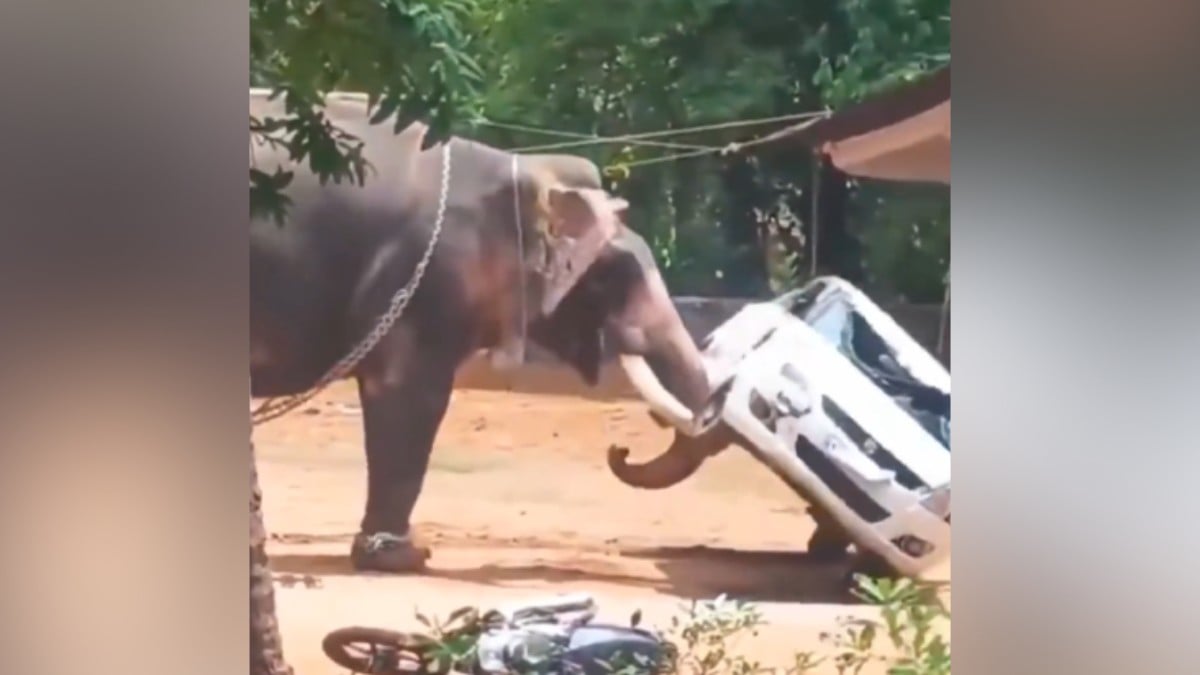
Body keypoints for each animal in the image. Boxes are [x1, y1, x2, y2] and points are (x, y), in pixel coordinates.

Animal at [250, 90, 715, 572]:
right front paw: (405, 557)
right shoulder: (429, 282)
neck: (527, 175)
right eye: (609, 277)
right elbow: (410, 395)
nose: (619, 449)